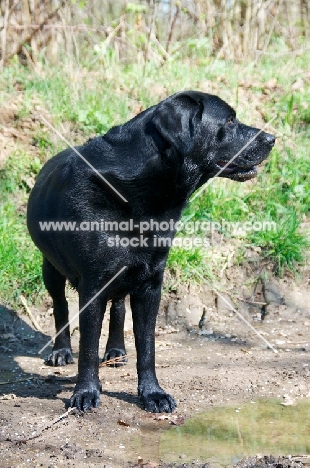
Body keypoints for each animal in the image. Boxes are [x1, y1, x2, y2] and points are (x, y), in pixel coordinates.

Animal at [26, 91, 274, 414]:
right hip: (51, 268)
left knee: (118, 307)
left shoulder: (150, 283)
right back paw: (61, 351)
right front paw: (86, 392)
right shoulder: (93, 284)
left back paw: (116, 350)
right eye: (230, 120)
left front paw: (152, 393)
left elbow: (147, 346)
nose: (271, 138)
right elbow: (88, 347)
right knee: (60, 306)